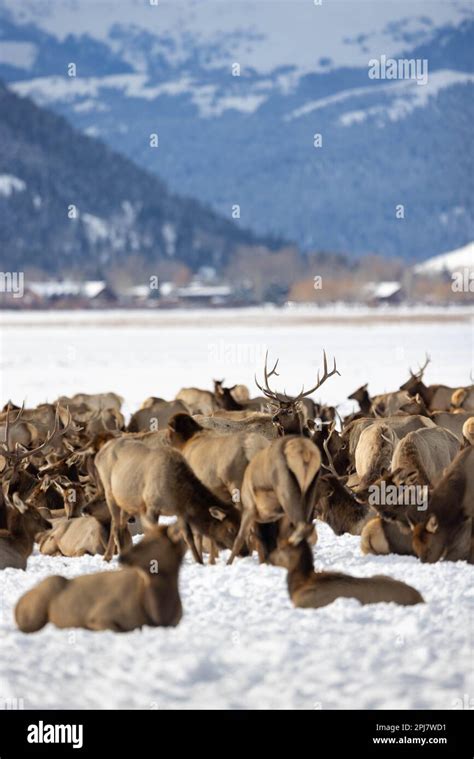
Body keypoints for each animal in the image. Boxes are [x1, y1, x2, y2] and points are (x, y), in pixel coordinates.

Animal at [95, 434, 243, 564]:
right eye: (231, 528)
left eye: (240, 524)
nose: (244, 551)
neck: (176, 494)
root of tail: (98, 454)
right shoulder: (151, 508)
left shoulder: (180, 511)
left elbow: (188, 536)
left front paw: (199, 561)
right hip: (109, 493)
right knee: (115, 526)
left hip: (127, 502)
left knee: (117, 524)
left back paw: (111, 556)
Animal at [227, 434, 322, 564]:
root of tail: (305, 450)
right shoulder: (281, 516)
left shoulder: (249, 509)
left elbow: (241, 538)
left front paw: (228, 563)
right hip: (309, 491)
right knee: (305, 527)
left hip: (286, 492)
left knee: (302, 527)